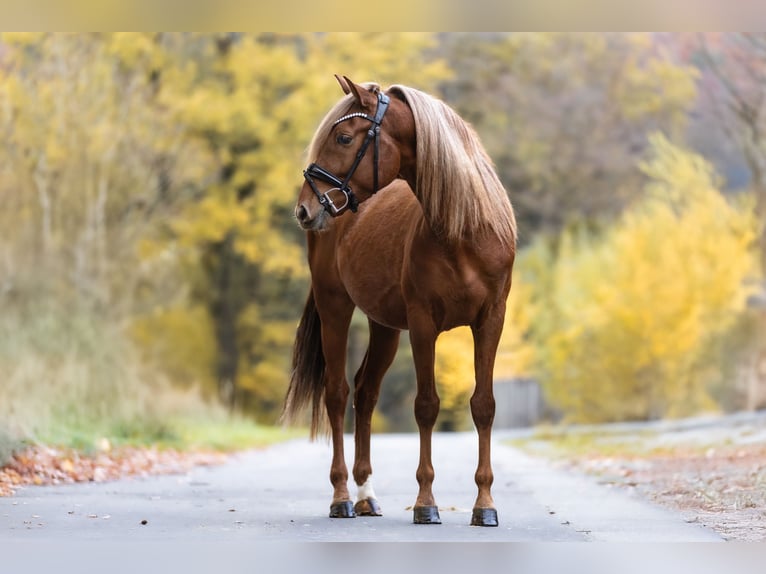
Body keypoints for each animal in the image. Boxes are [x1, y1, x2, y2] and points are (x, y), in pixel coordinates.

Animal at [283, 75, 516, 527]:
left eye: (343, 136)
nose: (304, 208)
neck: (465, 229)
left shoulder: (490, 321)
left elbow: (484, 406)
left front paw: (485, 505)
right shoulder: (423, 324)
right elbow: (426, 405)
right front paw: (426, 503)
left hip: (385, 327)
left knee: (365, 391)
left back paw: (366, 496)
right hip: (335, 308)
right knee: (337, 394)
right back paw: (342, 496)